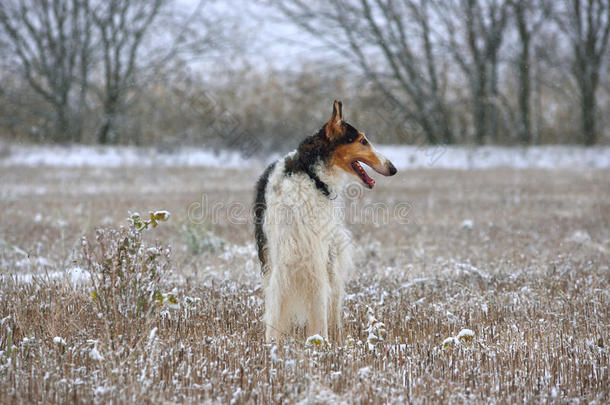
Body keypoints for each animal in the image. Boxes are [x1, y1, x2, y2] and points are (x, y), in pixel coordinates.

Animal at [252, 101, 394, 340]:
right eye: (362, 140)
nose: (393, 168)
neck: (311, 175)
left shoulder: (317, 257)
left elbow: (320, 308)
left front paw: (321, 342)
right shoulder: (281, 258)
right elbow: (275, 311)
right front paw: (272, 344)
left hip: (331, 257)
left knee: (332, 305)